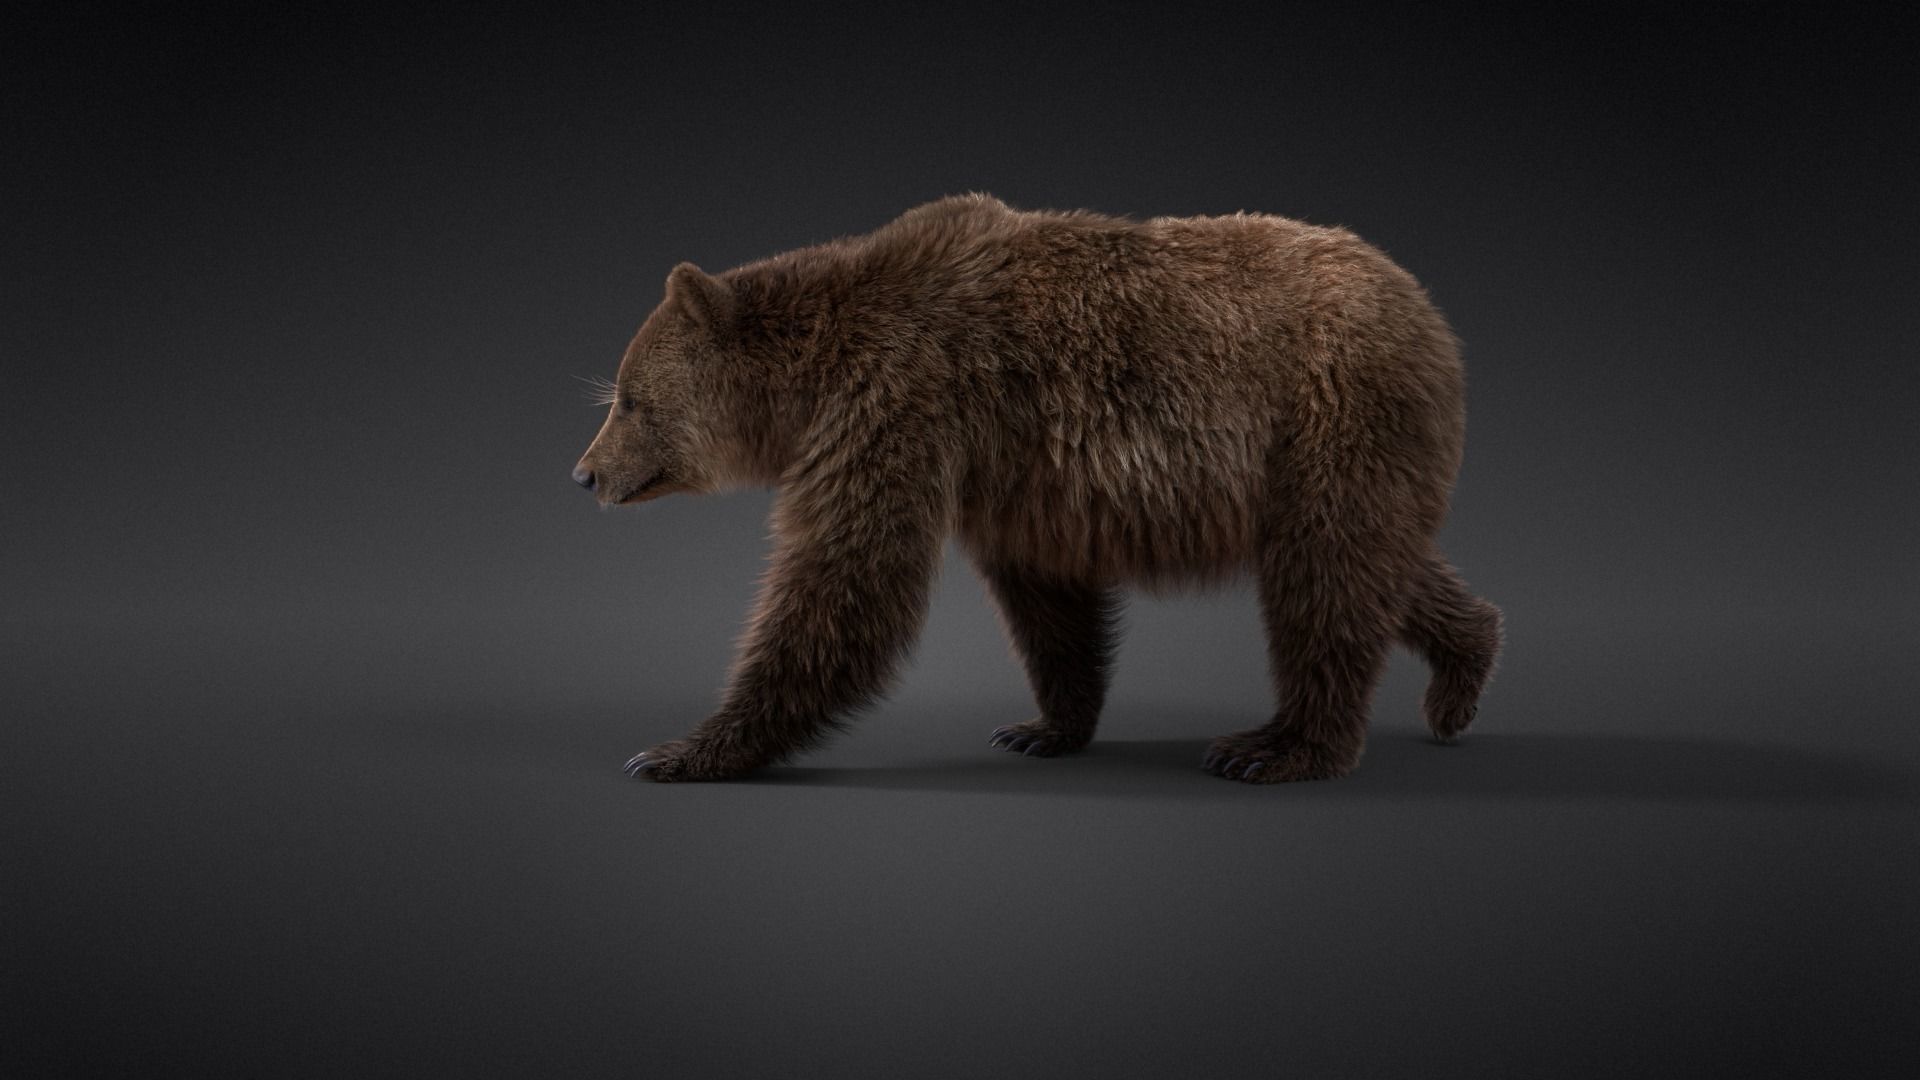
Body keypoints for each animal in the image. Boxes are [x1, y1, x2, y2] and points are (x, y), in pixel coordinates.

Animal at [572, 193, 1503, 784]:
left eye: (628, 398)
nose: (583, 473)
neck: (809, 379)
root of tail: (1427, 308)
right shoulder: (1012, 471)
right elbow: (1046, 597)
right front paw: (1043, 726)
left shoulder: (900, 400)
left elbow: (846, 580)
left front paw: (679, 751)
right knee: (1383, 566)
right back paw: (1464, 671)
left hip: (1329, 412)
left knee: (1327, 576)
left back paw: (1275, 747)